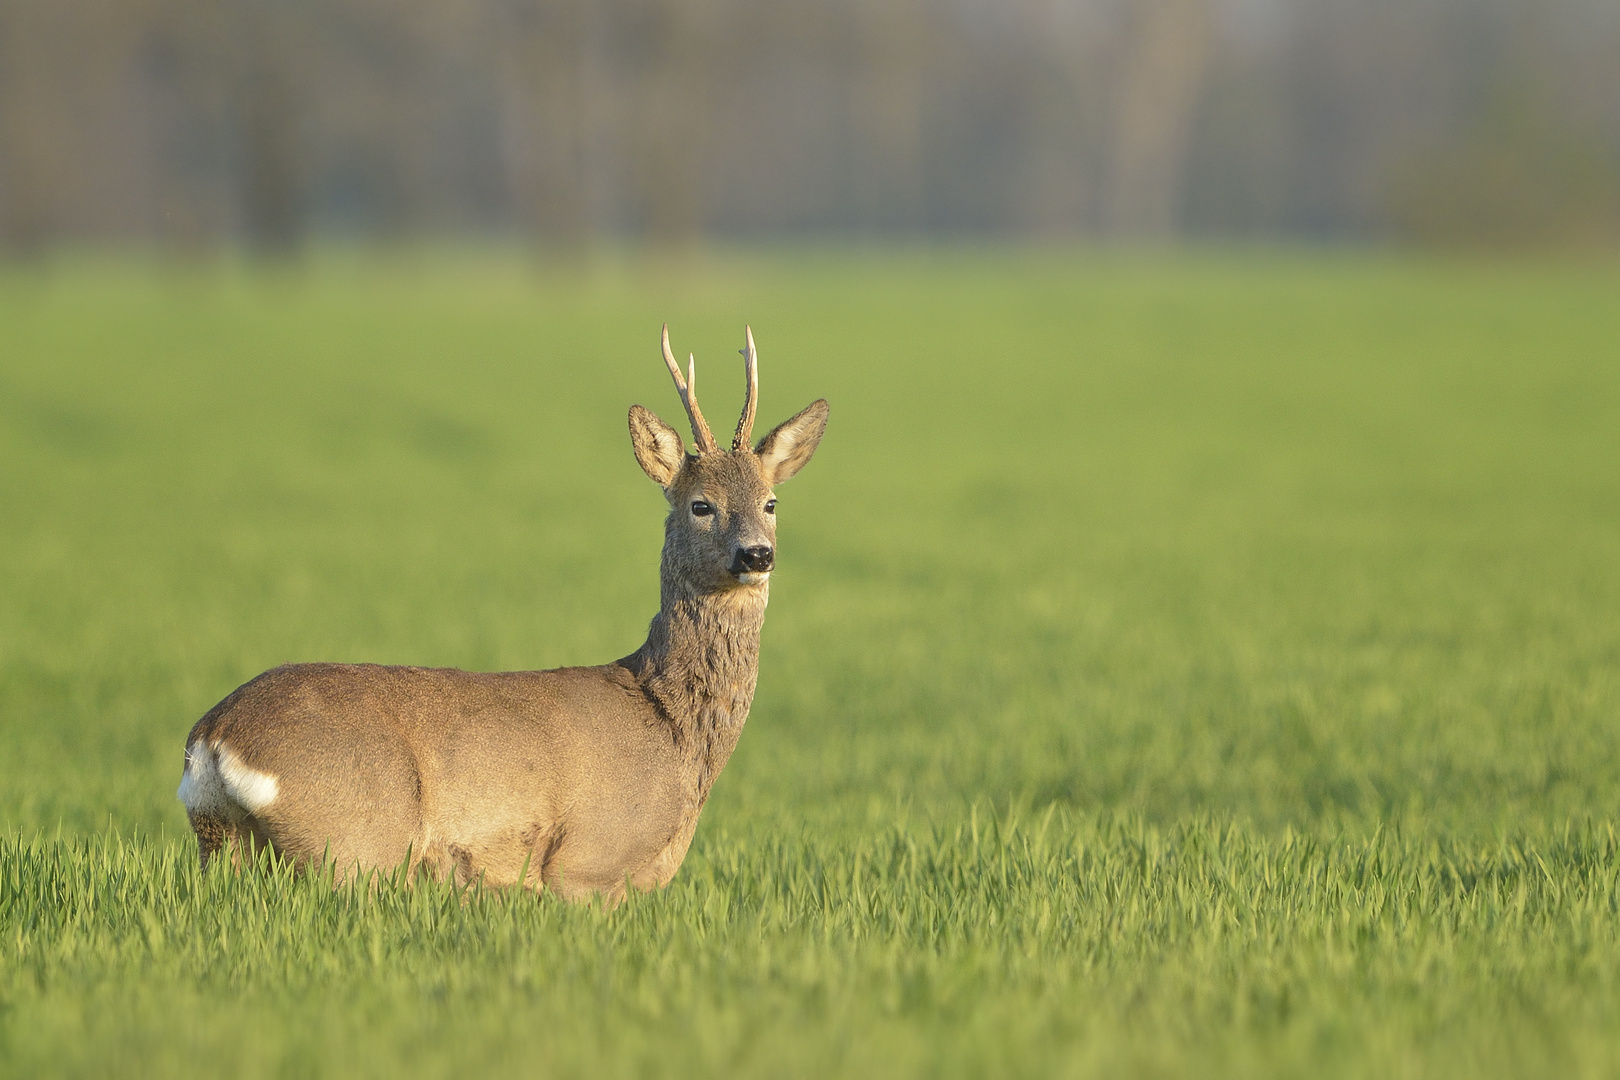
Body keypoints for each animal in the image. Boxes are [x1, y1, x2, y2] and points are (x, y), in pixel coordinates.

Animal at [180, 327, 822, 906]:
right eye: (700, 504)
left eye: (770, 502)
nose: (756, 554)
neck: (670, 727)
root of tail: (213, 738)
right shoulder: (586, 863)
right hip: (356, 843)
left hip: (224, 846)